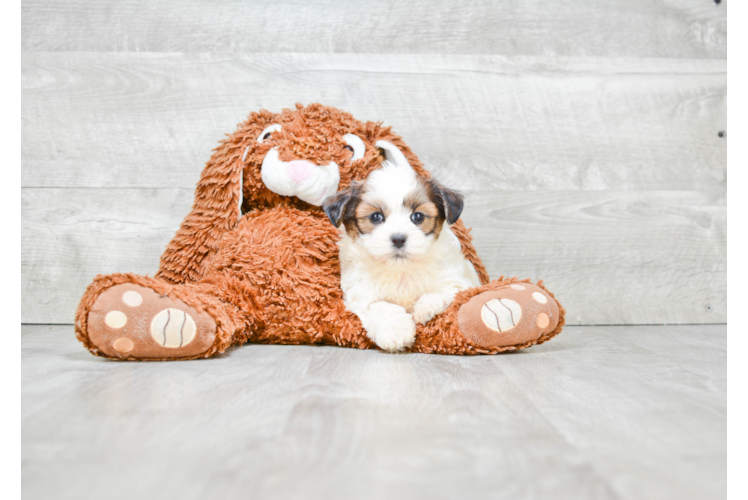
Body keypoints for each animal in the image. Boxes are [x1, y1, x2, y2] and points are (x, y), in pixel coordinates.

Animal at [322, 157, 480, 352]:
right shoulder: (361, 294)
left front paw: (426, 306)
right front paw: (396, 332)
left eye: (418, 217)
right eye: (375, 217)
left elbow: (449, 290)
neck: (400, 270)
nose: (398, 239)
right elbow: (381, 307)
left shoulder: (460, 280)